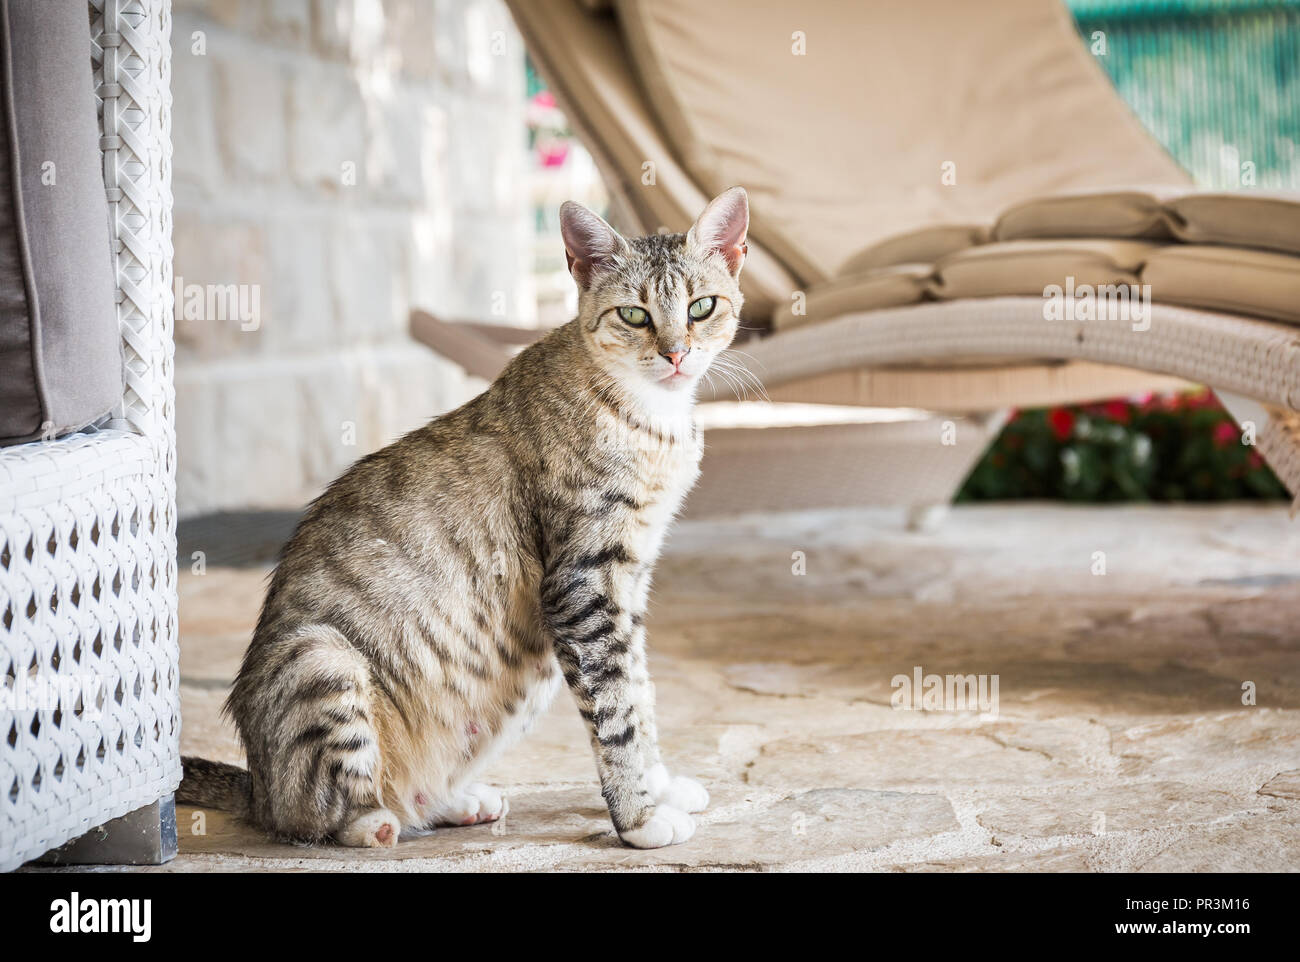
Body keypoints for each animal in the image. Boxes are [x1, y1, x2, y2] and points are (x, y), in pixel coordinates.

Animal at [182, 184, 754, 847]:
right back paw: (372, 824)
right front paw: (637, 817)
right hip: (319, 659)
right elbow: (617, 713)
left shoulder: (630, 582)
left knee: (410, 799)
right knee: (313, 817)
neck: (653, 421)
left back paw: (458, 801)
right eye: (634, 315)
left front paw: (660, 786)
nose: (676, 354)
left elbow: (640, 691)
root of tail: (255, 784)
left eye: (702, 306)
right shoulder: (583, 585)